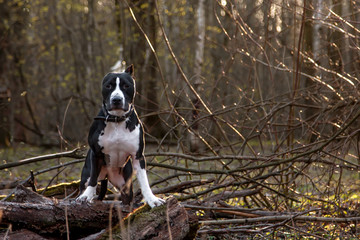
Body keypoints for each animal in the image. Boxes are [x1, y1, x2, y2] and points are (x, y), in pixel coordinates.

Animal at [78, 64, 165, 208]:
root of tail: (107, 175)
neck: (117, 120)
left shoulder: (138, 156)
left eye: (126, 86)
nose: (116, 99)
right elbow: (93, 179)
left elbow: (144, 181)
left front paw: (152, 199)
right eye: (108, 86)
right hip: (87, 174)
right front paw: (86, 196)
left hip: (125, 185)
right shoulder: (96, 155)